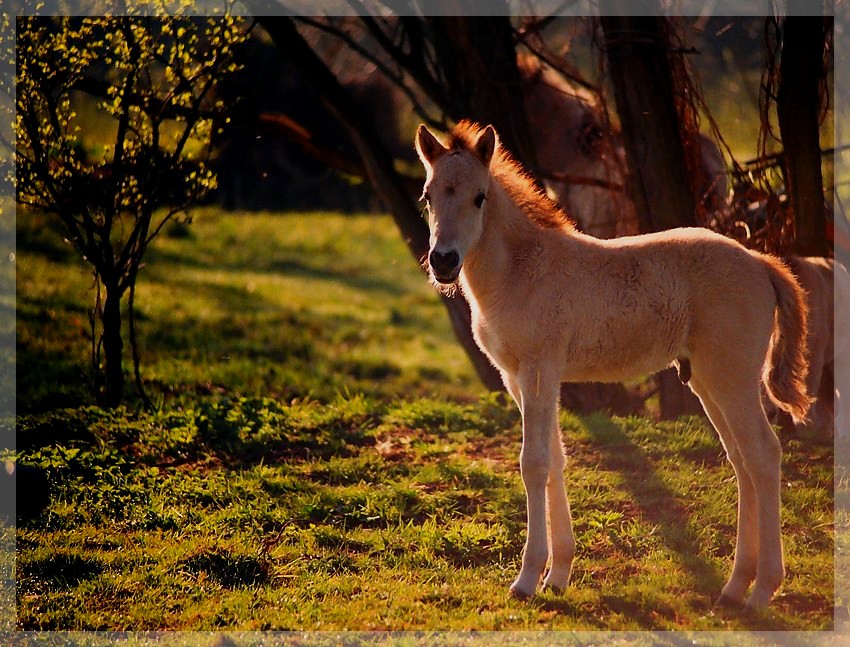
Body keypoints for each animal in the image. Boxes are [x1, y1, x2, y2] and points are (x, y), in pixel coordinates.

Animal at [414, 119, 812, 612]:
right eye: (428, 196)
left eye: (479, 197)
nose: (443, 261)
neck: (521, 271)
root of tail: (760, 262)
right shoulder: (518, 378)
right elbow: (557, 459)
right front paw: (557, 575)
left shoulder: (538, 368)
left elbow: (534, 463)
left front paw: (527, 579)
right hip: (708, 381)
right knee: (742, 460)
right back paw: (735, 586)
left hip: (732, 376)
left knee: (763, 454)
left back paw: (762, 590)